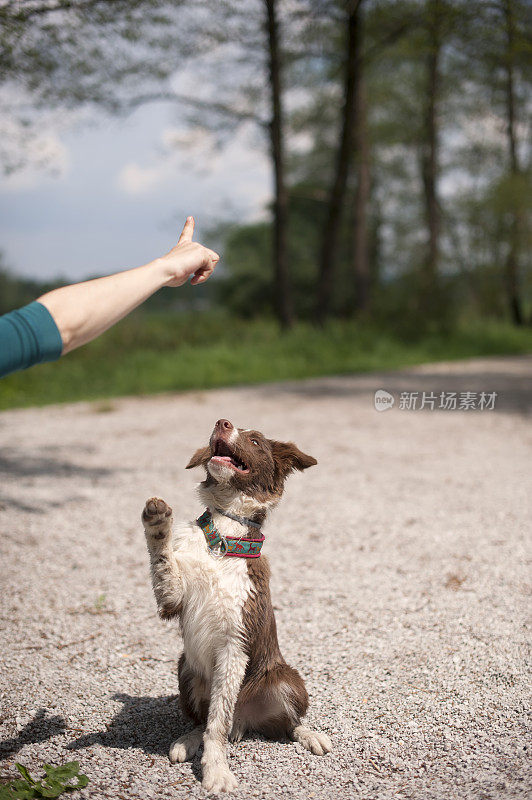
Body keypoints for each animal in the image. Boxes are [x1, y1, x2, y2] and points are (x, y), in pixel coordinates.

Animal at [141, 418, 332, 792]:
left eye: (255, 440)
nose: (222, 422)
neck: (223, 537)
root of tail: (244, 722)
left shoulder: (235, 642)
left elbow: (218, 723)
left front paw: (216, 771)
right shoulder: (171, 598)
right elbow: (163, 559)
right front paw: (157, 524)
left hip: (287, 680)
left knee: (285, 725)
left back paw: (310, 735)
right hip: (186, 669)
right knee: (201, 721)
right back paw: (186, 741)